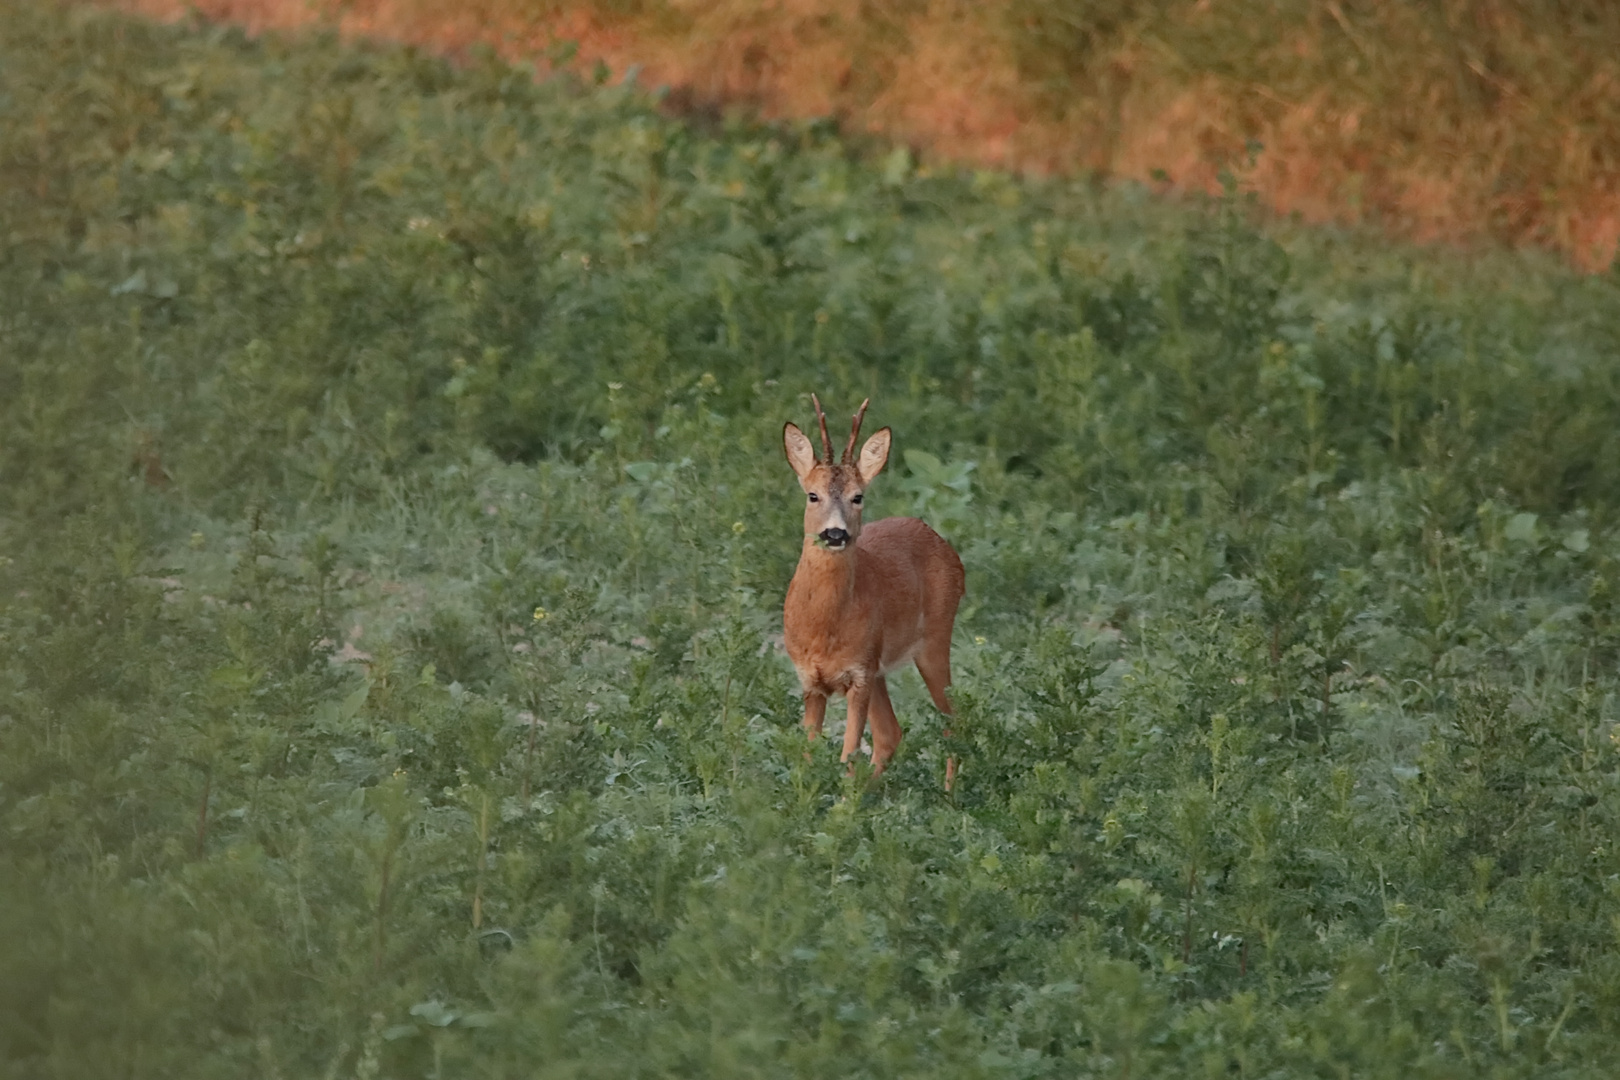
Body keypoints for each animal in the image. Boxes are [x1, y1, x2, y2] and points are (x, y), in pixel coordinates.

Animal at [780, 396, 959, 786]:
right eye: (812, 495)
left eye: (857, 496)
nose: (835, 533)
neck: (824, 630)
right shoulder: (810, 680)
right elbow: (806, 756)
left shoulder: (859, 675)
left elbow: (848, 755)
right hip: (880, 667)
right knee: (890, 733)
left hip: (934, 640)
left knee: (953, 721)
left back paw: (949, 794)